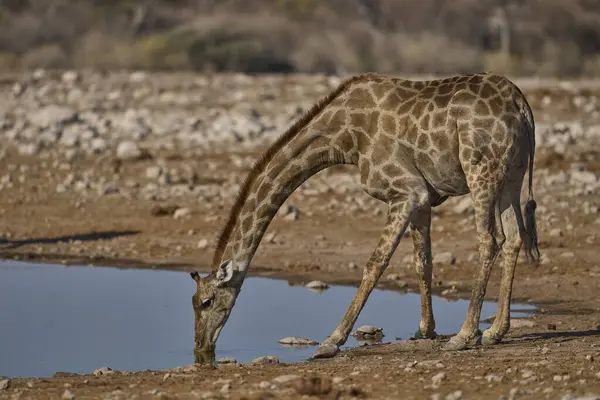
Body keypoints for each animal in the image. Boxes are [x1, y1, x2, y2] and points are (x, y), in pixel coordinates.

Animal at [190, 70, 540, 360]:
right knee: (513, 238)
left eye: (206, 302)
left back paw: (466, 335)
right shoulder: (422, 198)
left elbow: (375, 264)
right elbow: (422, 261)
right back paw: (495, 332)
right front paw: (424, 330)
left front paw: (331, 341)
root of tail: (522, 105)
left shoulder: (405, 191)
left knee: (489, 240)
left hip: (480, 169)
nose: (201, 348)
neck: (343, 137)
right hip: (512, 174)